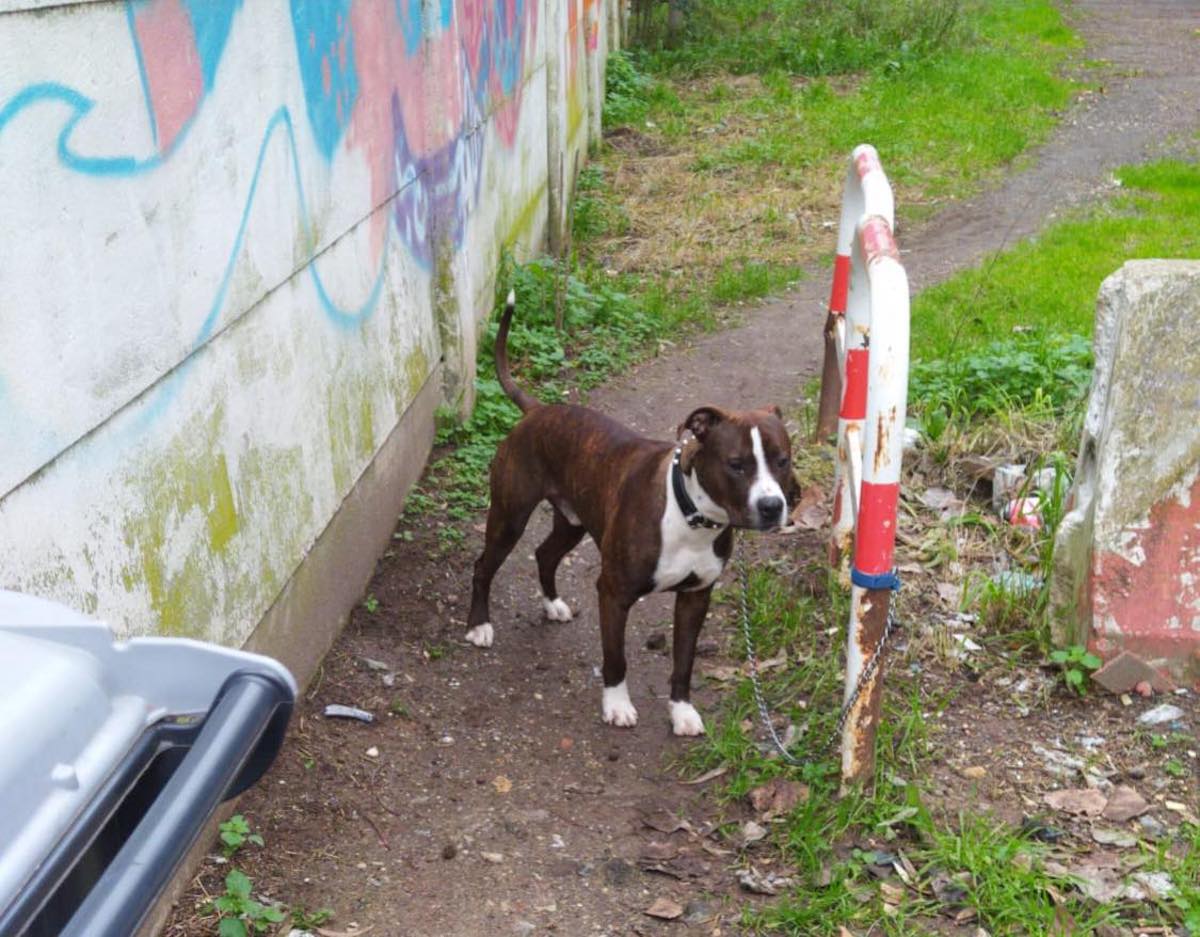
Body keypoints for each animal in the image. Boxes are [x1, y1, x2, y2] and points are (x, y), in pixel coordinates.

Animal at [465, 293, 796, 739]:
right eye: (736, 464)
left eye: (782, 460)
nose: (772, 506)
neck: (692, 516)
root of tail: (536, 410)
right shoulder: (613, 593)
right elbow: (616, 659)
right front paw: (617, 706)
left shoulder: (695, 598)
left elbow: (684, 662)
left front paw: (681, 711)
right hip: (509, 517)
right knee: (485, 564)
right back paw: (479, 626)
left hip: (572, 521)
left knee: (545, 554)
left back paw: (553, 604)